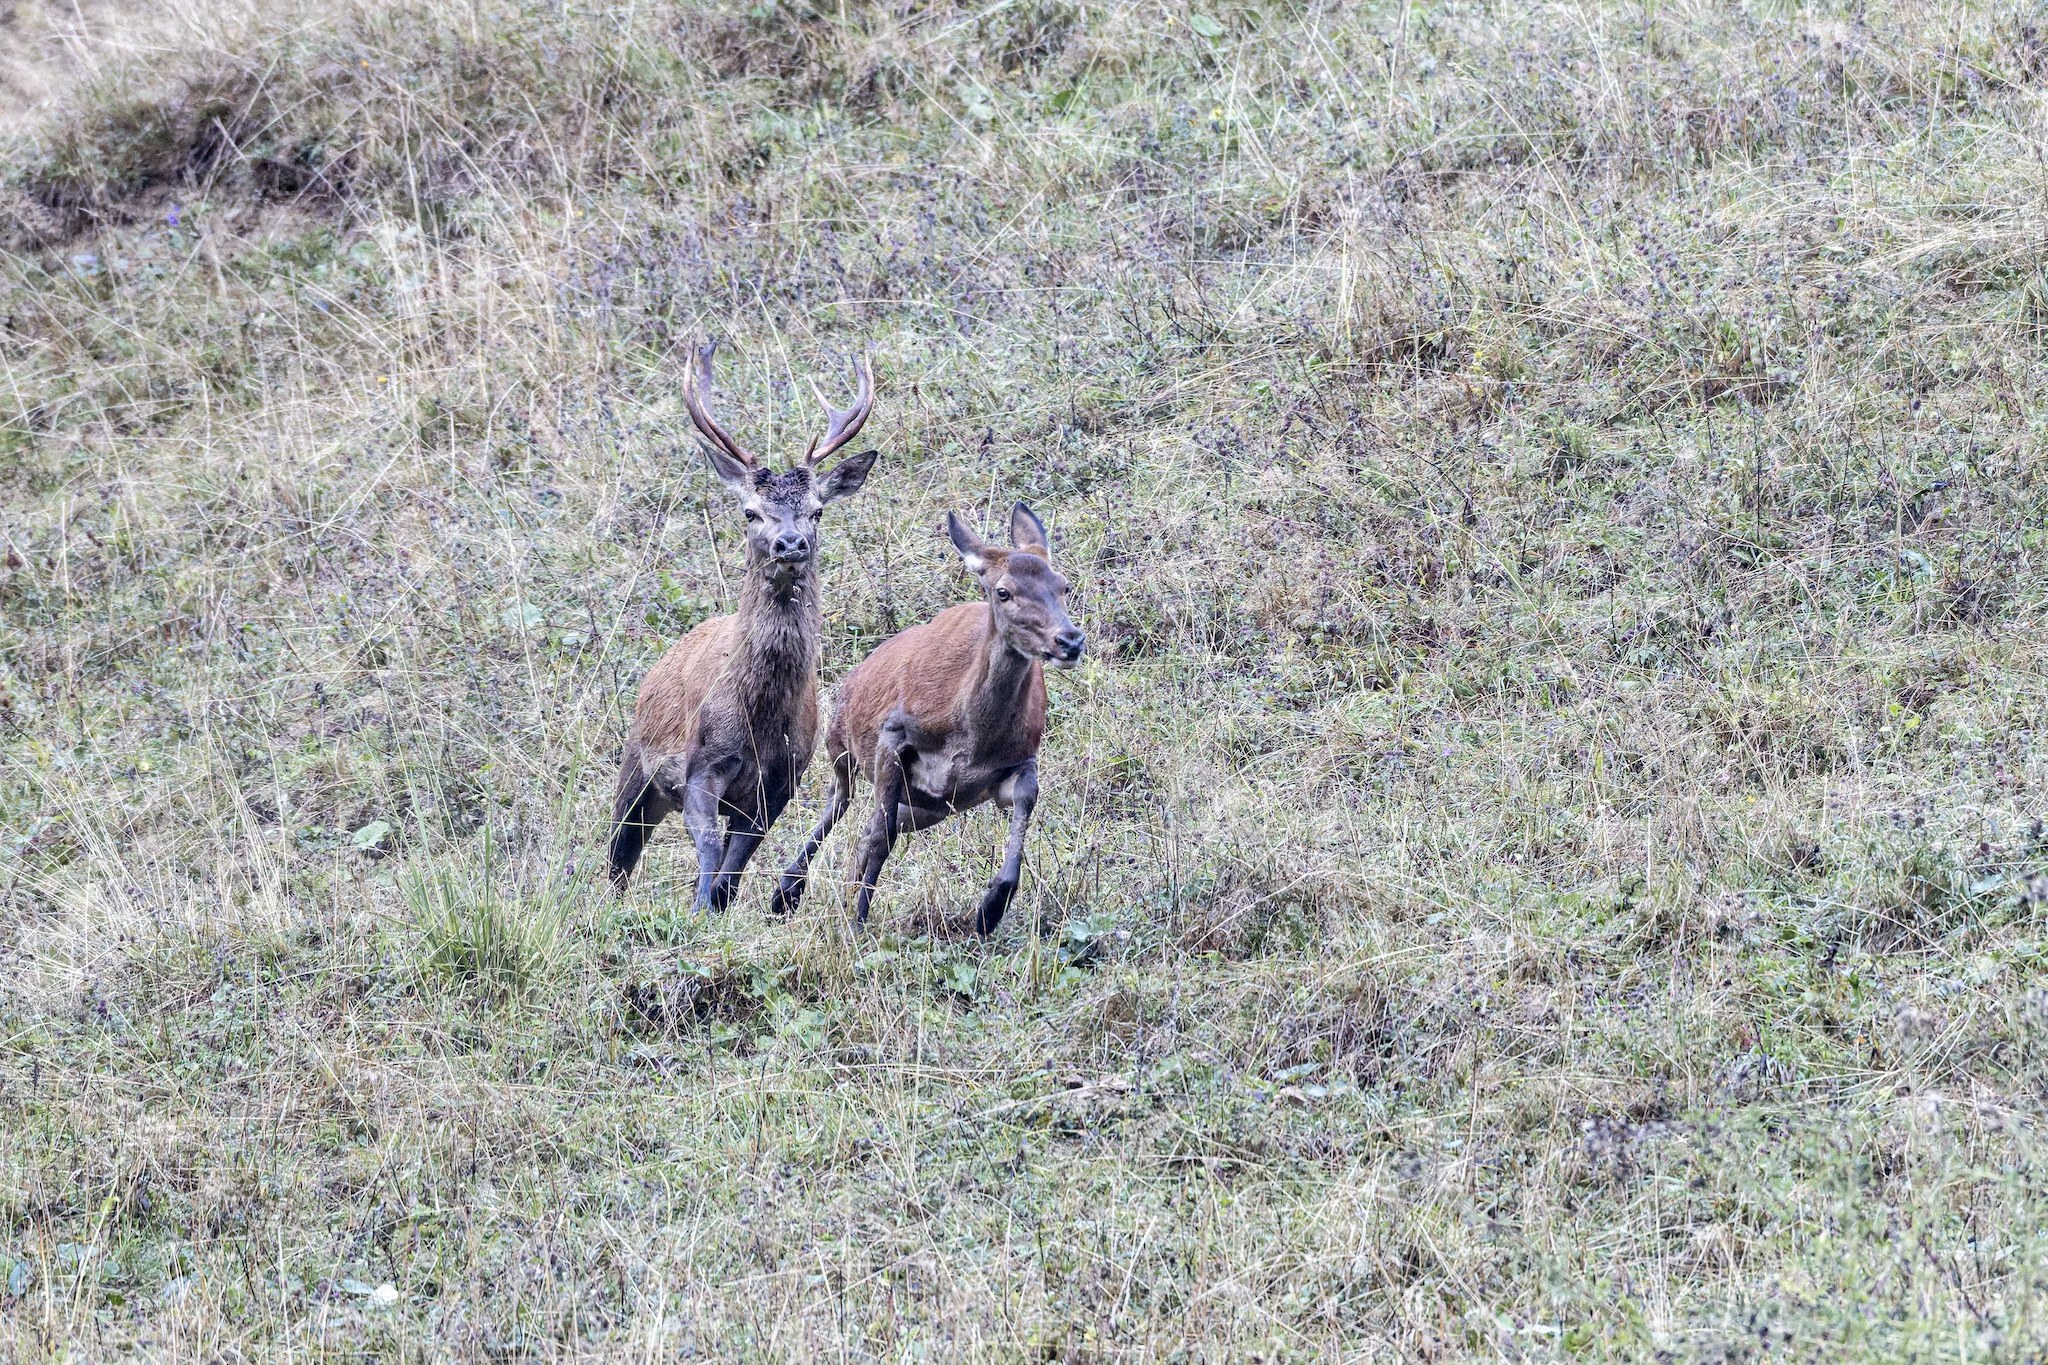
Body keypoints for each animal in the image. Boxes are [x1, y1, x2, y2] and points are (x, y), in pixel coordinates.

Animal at [607, 341, 878, 911]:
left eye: (817, 511)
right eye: (750, 512)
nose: (790, 543)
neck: (758, 716)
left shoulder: (777, 786)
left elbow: (733, 871)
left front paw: (724, 905)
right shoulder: (699, 767)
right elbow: (710, 847)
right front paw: (695, 912)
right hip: (635, 767)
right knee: (619, 853)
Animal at [772, 502, 1085, 934]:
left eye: (1063, 585)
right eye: (1003, 591)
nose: (1069, 640)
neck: (967, 736)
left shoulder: (1019, 761)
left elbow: (1022, 810)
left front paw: (989, 911)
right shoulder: (893, 734)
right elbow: (881, 839)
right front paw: (859, 923)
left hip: (926, 807)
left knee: (867, 826)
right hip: (838, 744)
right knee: (842, 800)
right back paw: (787, 892)